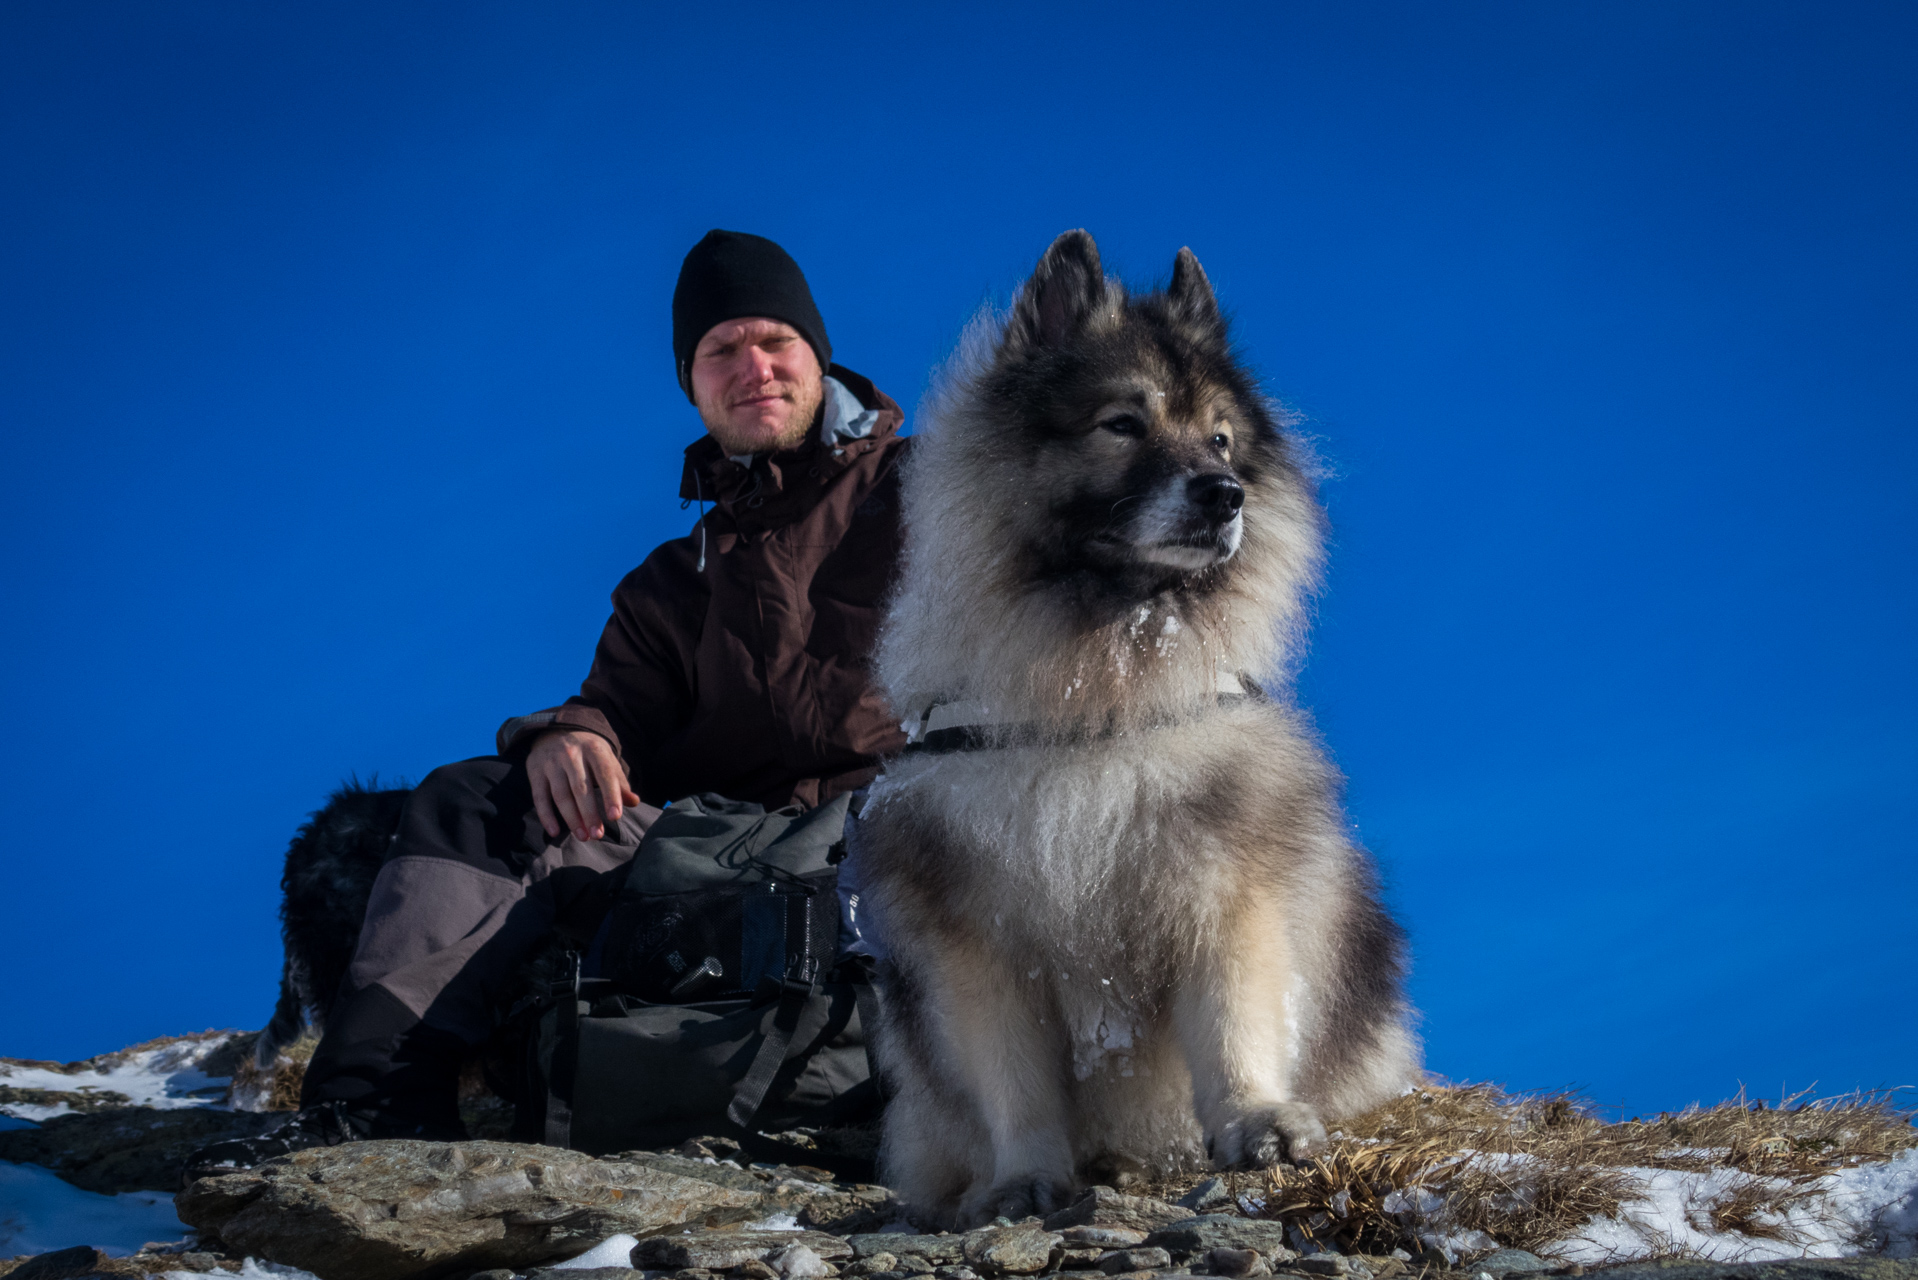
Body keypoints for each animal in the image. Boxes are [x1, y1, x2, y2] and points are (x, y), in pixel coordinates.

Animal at [863, 233, 1419, 1228]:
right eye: (1123, 423)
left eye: (1221, 438)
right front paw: (1024, 1178)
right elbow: (1014, 1082)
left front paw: (1258, 1124)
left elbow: (1235, 1023)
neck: (1098, 703)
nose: (1225, 494)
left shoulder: (1226, 892)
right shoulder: (978, 942)